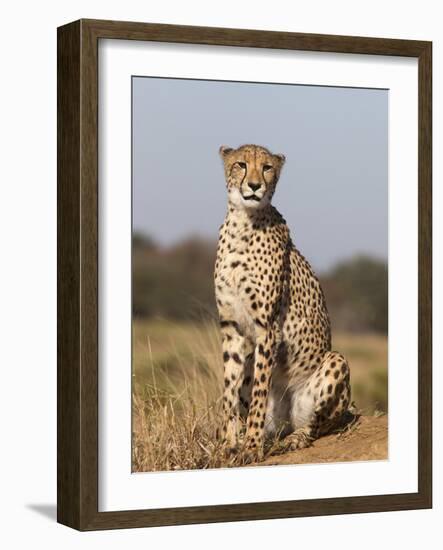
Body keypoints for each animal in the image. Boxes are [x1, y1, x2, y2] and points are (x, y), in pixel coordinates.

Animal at [213, 143, 352, 462]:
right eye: (241, 164)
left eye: (267, 168)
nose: (254, 185)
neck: (243, 222)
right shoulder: (232, 328)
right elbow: (228, 391)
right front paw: (228, 445)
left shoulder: (268, 328)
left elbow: (259, 394)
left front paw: (251, 449)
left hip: (334, 362)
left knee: (315, 426)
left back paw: (292, 440)